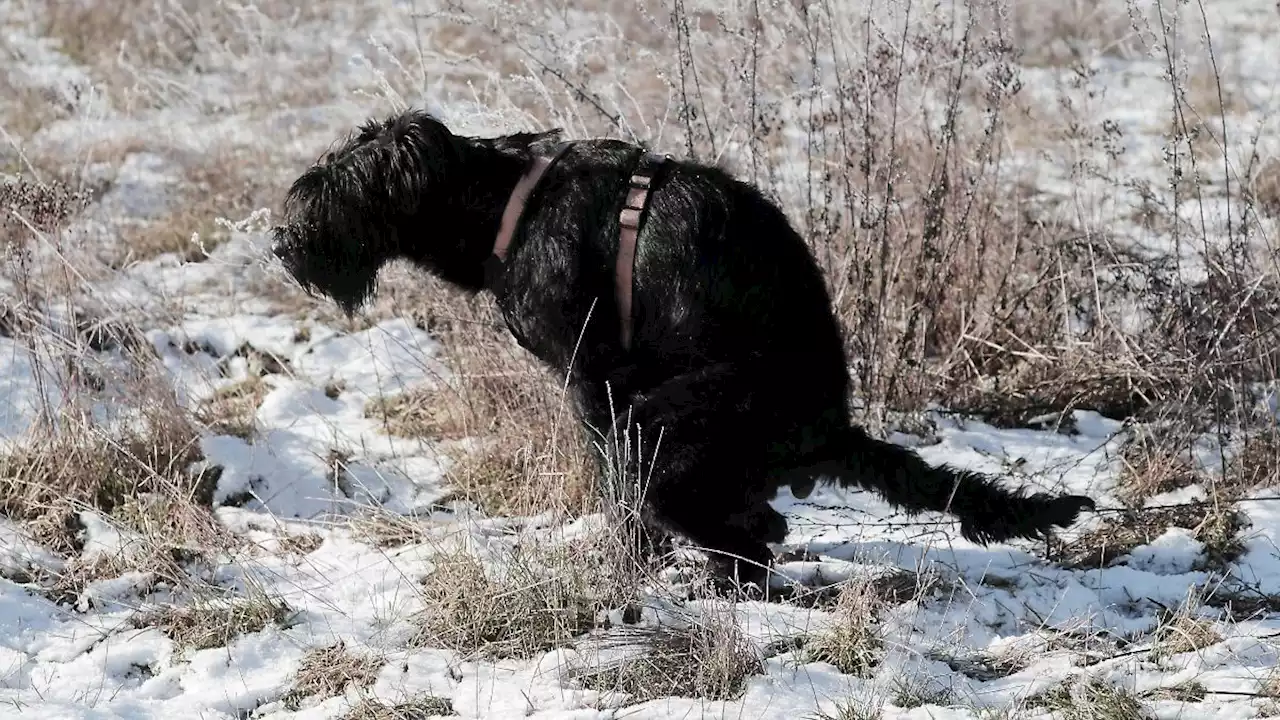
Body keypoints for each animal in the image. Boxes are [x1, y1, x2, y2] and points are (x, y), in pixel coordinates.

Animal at [267, 107, 1090, 589]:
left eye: (331, 191)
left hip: (673, 429)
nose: (279, 242)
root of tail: (831, 431)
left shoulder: (596, 381)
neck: (506, 206)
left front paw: (625, 562)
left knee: (747, 529)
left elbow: (614, 483)